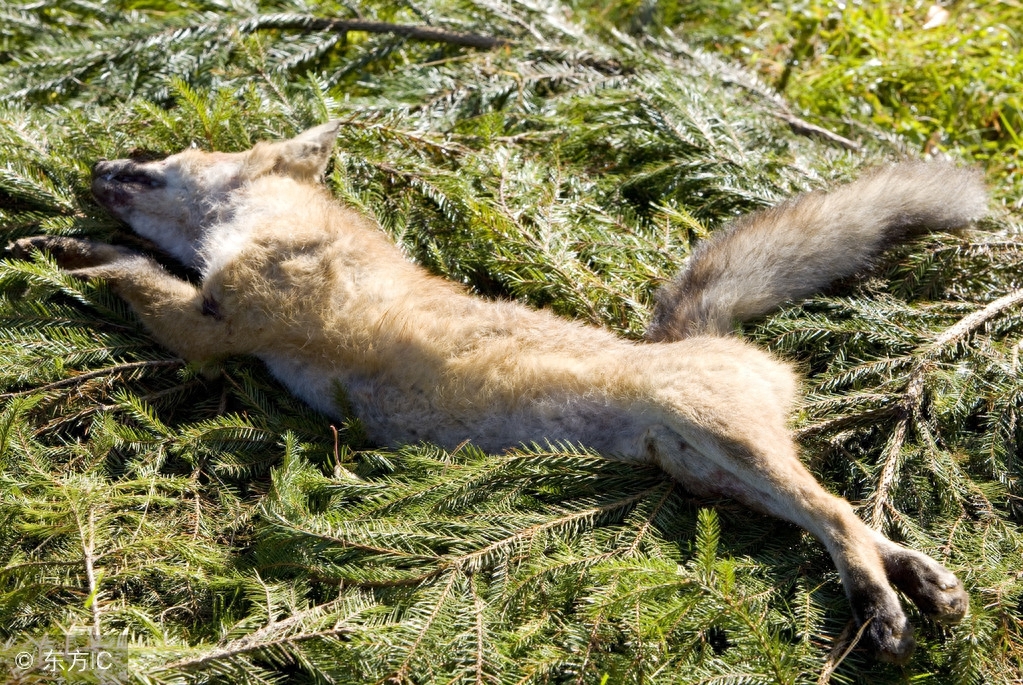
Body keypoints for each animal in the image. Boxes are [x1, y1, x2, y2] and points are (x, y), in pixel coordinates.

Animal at [6, 120, 982, 662]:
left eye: (164, 155)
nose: (96, 166)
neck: (276, 232)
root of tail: (697, 337)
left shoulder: (211, 324)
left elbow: (129, 273)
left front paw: (63, 249)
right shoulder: (212, 311)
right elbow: (122, 264)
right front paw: (55, 245)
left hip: (725, 442)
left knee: (842, 517)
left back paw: (883, 611)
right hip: (712, 474)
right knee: (847, 519)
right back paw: (927, 583)